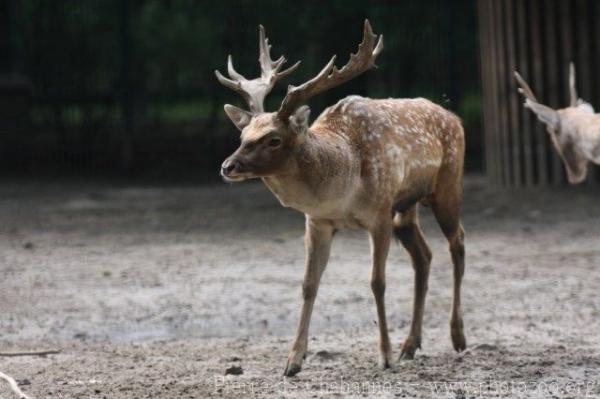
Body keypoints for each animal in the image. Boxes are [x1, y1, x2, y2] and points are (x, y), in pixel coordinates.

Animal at [217, 21, 468, 378]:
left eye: (273, 139)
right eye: (243, 135)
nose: (227, 166)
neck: (342, 191)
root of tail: (455, 118)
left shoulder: (379, 215)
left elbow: (377, 282)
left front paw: (384, 356)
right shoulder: (317, 222)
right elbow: (308, 284)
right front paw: (293, 361)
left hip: (447, 185)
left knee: (457, 243)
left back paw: (457, 337)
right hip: (405, 209)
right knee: (424, 256)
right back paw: (410, 345)